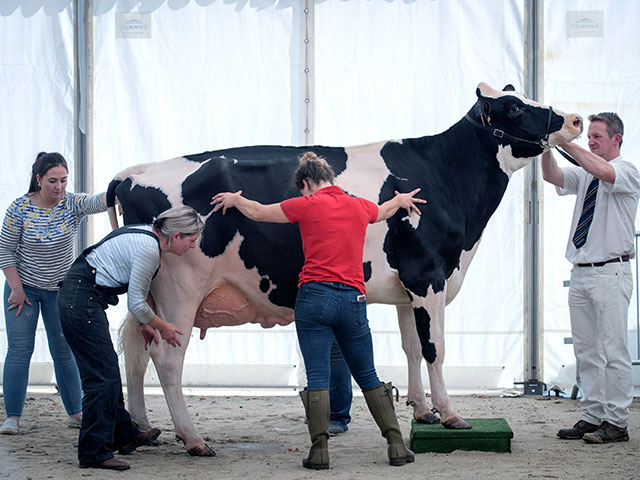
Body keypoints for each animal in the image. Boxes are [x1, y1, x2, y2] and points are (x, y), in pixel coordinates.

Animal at [110, 83, 580, 458]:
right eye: (514, 107)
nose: (574, 118)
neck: (443, 175)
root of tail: (132, 173)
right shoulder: (429, 276)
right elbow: (435, 349)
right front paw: (450, 415)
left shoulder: (409, 288)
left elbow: (411, 347)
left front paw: (423, 411)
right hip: (180, 288)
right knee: (167, 357)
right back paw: (193, 440)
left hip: (150, 291)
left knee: (135, 350)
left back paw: (144, 429)